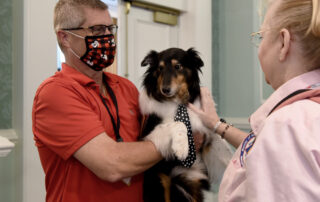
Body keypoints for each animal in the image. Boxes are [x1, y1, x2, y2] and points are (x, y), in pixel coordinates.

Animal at [138, 47, 232, 202]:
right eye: (160, 68)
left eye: (178, 66)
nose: (165, 90)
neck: (178, 102)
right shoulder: (147, 135)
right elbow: (178, 124)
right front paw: (182, 148)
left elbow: (219, 139)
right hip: (161, 181)